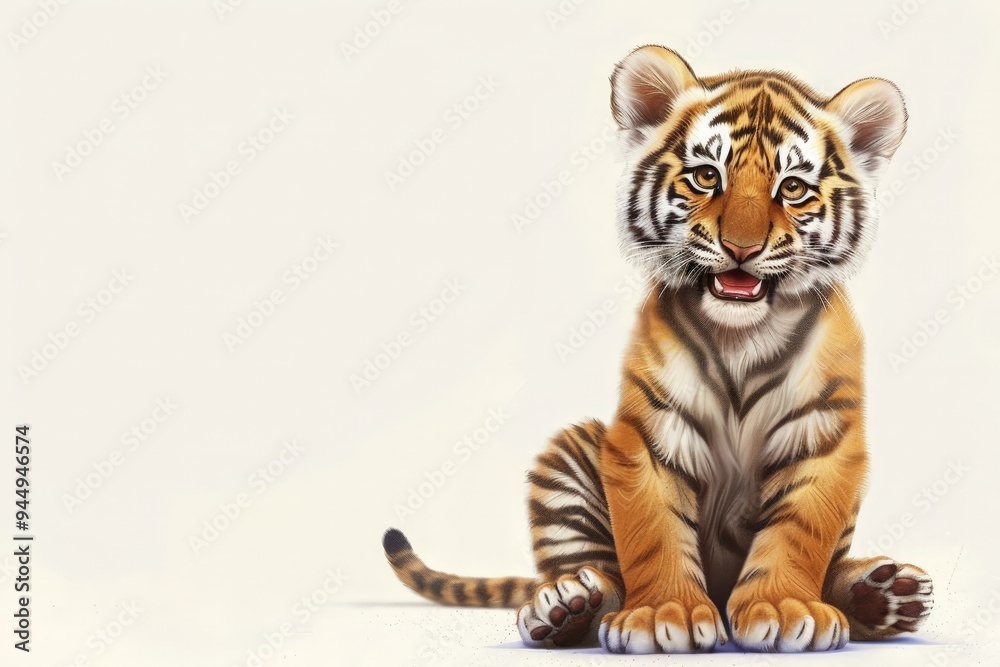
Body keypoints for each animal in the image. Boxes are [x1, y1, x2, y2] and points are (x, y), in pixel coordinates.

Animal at [381, 45, 934, 653]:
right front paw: (663, 614)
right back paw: (567, 606)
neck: (742, 335)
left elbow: (798, 533)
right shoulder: (646, 438)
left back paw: (883, 593)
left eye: (792, 187)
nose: (742, 248)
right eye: (707, 175)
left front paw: (783, 607)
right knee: (598, 572)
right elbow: (654, 532)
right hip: (569, 456)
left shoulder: (826, 436)